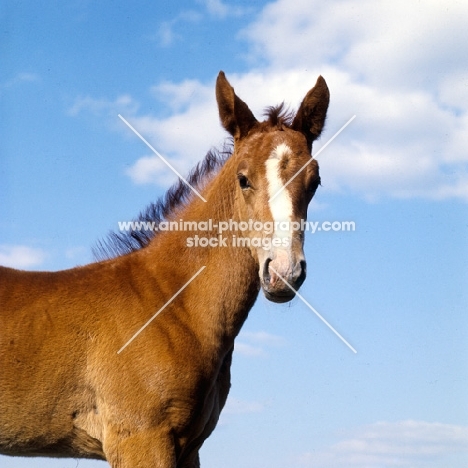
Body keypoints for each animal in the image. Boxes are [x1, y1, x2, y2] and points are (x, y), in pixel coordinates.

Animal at [0, 71, 330, 466]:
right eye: (243, 178)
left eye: (314, 182)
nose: (283, 272)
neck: (171, 303)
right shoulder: (141, 439)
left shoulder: (189, 449)